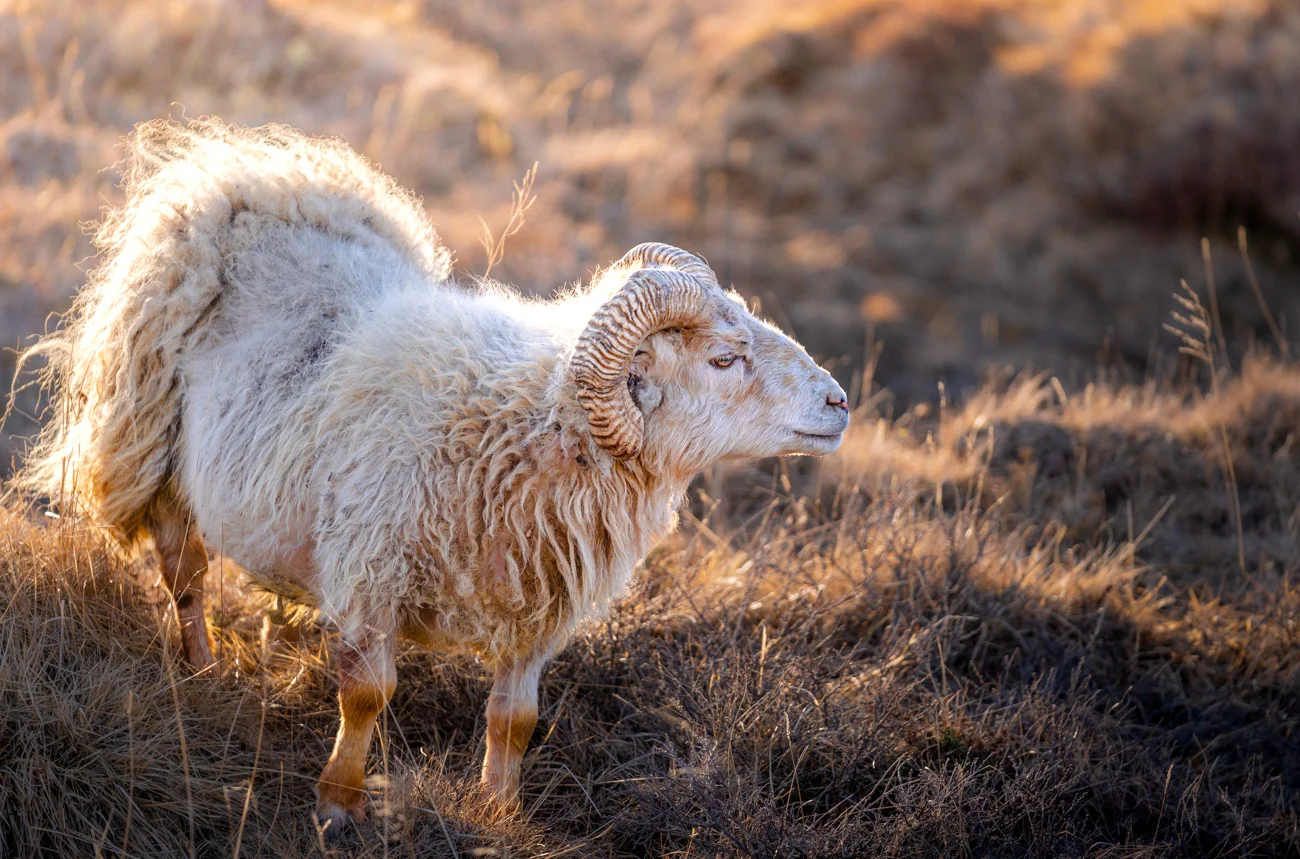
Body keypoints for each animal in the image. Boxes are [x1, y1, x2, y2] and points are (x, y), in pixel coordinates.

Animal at [16, 119, 851, 828]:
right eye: (724, 359)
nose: (840, 401)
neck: (529, 423)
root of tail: (249, 173)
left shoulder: (535, 607)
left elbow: (514, 720)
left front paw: (500, 811)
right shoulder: (370, 572)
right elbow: (365, 694)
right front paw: (339, 804)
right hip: (152, 448)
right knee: (184, 574)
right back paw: (198, 667)